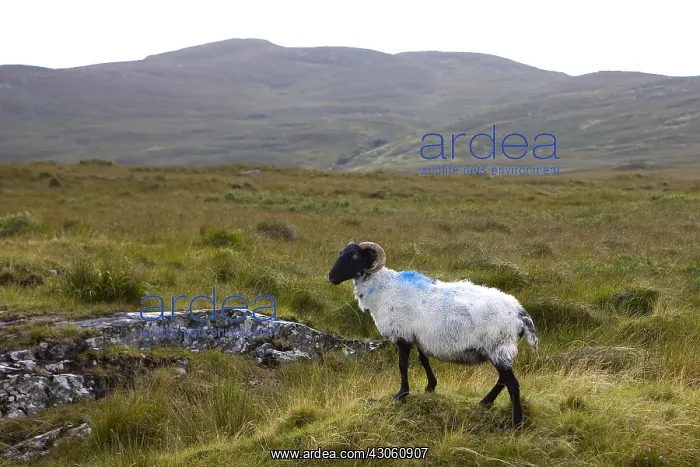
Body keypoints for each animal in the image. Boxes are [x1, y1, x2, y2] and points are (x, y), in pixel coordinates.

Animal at [328, 241, 538, 428]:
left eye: (355, 257)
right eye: (340, 253)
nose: (331, 277)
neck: (384, 289)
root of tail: (521, 313)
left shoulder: (403, 335)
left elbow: (402, 365)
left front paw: (401, 394)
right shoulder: (420, 336)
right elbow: (423, 359)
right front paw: (430, 386)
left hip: (499, 347)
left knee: (512, 384)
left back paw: (515, 423)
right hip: (497, 349)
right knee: (503, 379)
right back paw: (486, 402)